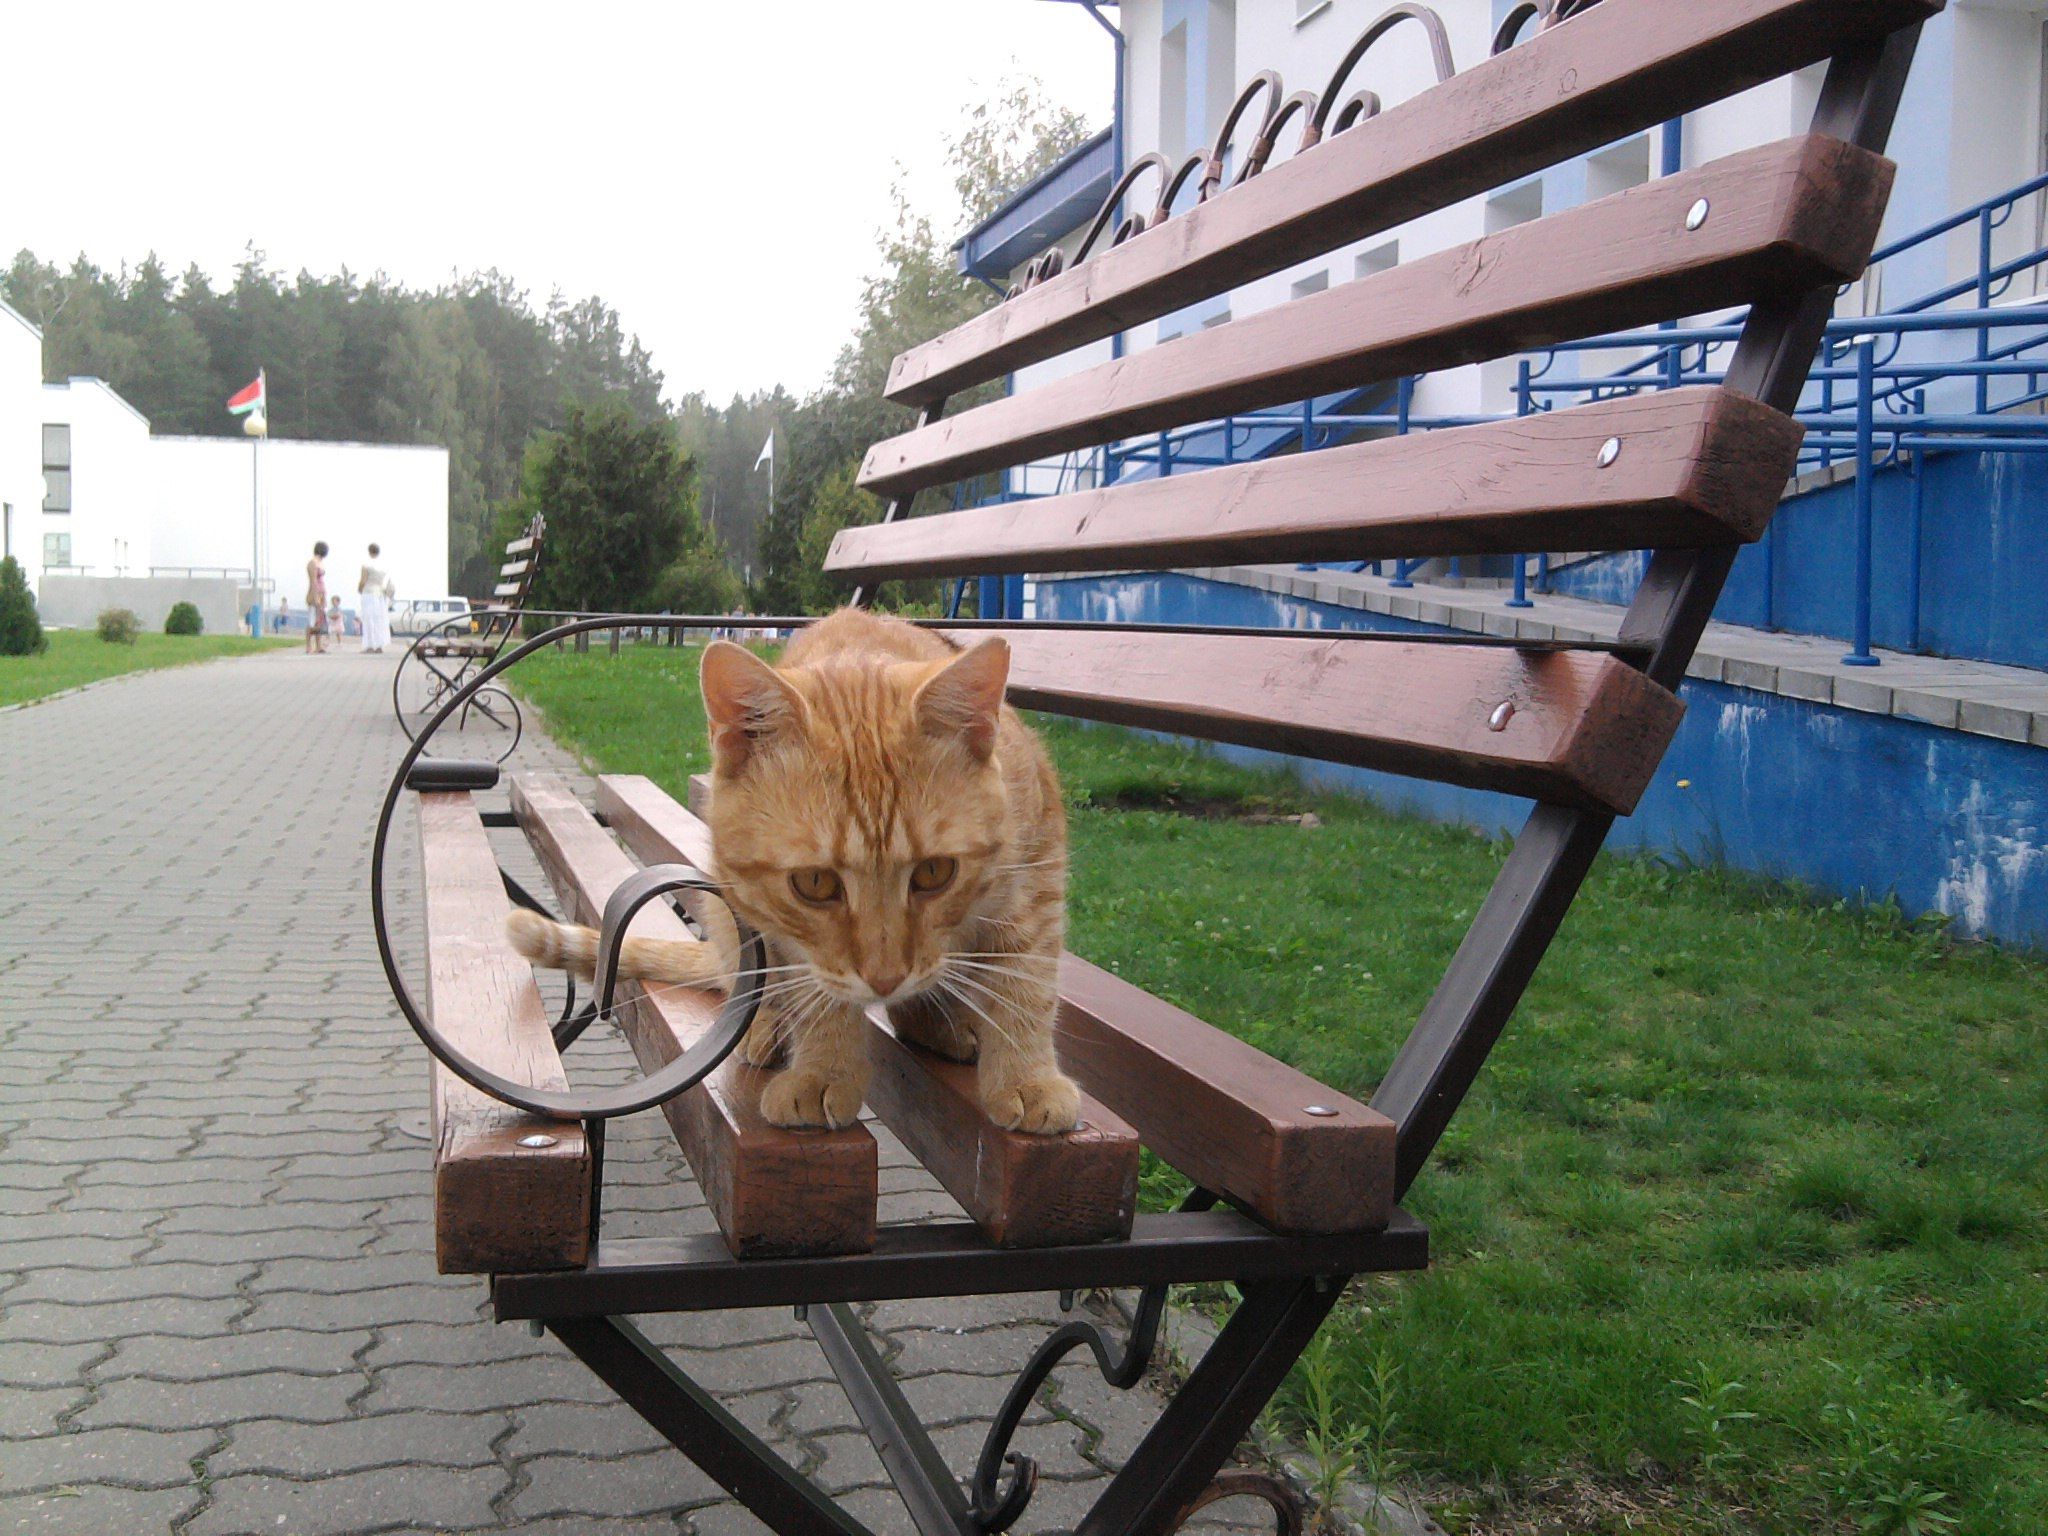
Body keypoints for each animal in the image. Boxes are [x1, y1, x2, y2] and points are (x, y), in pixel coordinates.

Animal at [505, 607, 1081, 1135]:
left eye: (935, 872)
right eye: (815, 883)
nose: (885, 978)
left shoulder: (1038, 876)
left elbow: (1028, 985)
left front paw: (1027, 1078)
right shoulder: (780, 927)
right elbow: (816, 992)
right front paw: (823, 1070)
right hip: (726, 908)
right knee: (742, 973)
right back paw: (767, 1025)